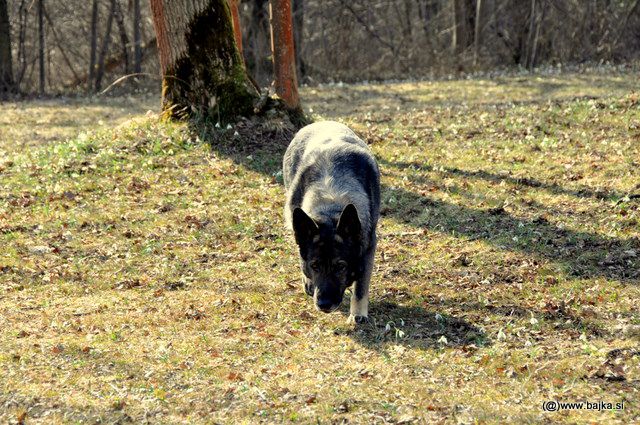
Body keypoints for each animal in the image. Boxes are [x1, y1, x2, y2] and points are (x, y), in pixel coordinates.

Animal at [282, 121, 380, 322]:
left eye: (340, 267)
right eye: (315, 265)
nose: (324, 304)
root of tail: (318, 123)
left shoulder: (368, 246)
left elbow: (361, 286)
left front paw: (358, 314)